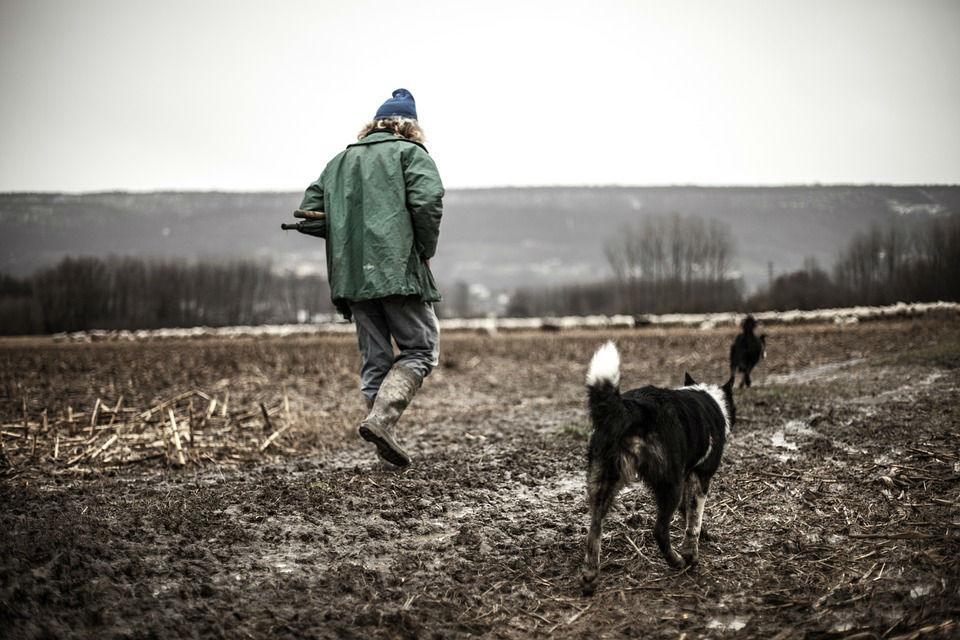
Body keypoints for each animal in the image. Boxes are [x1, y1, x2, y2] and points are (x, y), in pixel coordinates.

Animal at [576, 340, 736, 596]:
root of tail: (631, 408)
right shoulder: (699, 477)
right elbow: (694, 520)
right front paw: (691, 553)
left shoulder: (687, 477)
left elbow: (687, 513)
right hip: (670, 485)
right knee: (659, 531)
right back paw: (677, 561)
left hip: (602, 481)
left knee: (594, 528)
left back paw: (590, 577)